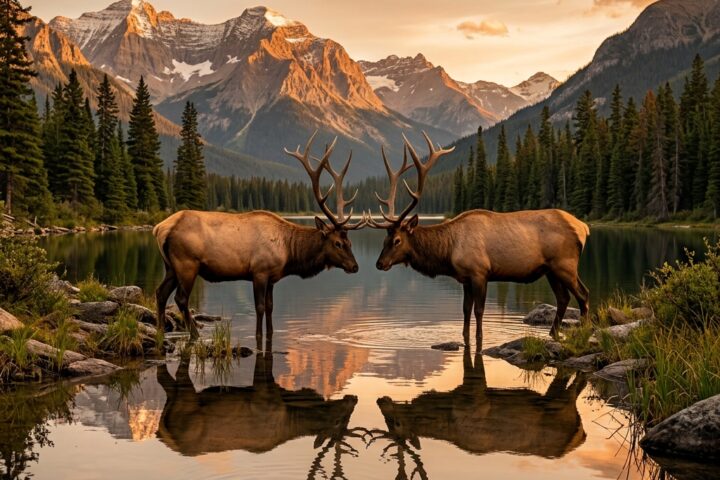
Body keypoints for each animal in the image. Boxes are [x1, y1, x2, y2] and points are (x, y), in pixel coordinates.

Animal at [153, 132, 365, 339]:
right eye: (337, 243)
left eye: (349, 242)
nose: (355, 266)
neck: (289, 252)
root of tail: (159, 228)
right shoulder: (259, 271)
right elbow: (260, 308)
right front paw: (257, 335)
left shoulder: (272, 277)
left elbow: (270, 308)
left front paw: (270, 333)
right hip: (187, 263)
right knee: (180, 298)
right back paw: (194, 334)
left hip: (170, 266)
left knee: (160, 292)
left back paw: (161, 330)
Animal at [368, 132, 590, 340]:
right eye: (384, 240)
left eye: (397, 240)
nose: (379, 263)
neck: (448, 252)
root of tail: (584, 227)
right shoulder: (465, 279)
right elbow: (466, 310)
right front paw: (465, 336)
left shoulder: (480, 272)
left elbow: (479, 310)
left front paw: (479, 338)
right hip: (550, 270)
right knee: (563, 298)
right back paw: (553, 333)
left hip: (565, 264)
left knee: (583, 294)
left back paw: (584, 331)